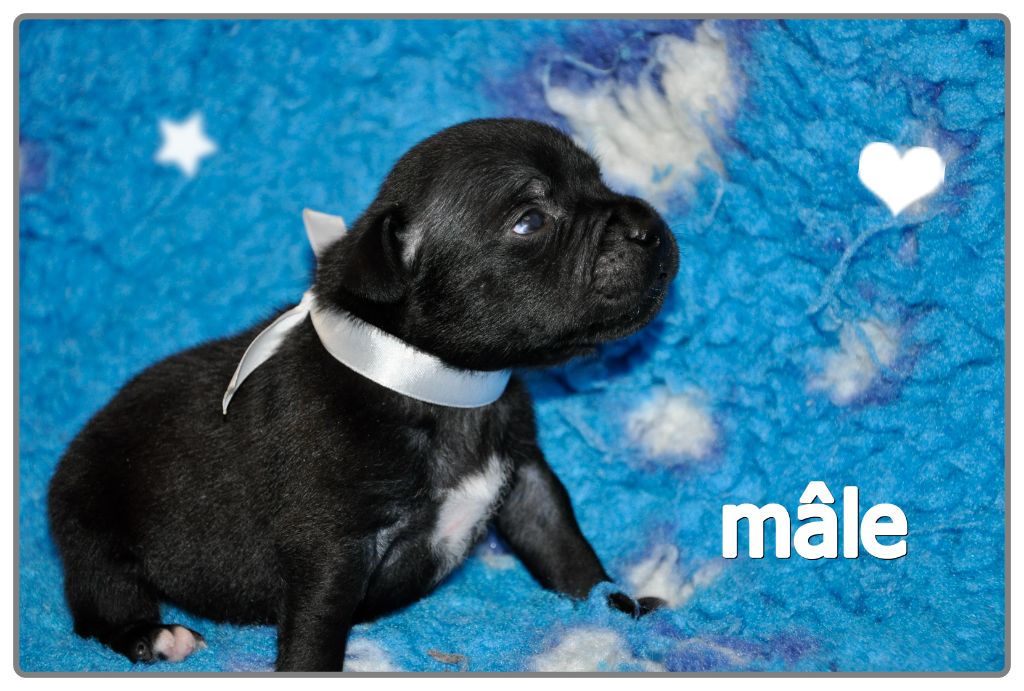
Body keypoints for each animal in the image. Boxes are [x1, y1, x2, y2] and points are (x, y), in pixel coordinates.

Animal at [47, 118, 680, 671]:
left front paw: (619, 608)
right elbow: (318, 626)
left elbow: (566, 549)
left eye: (599, 180)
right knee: (99, 602)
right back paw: (153, 636)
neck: (440, 383)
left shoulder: (527, 480)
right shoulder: (333, 546)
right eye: (530, 221)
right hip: (90, 525)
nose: (651, 225)